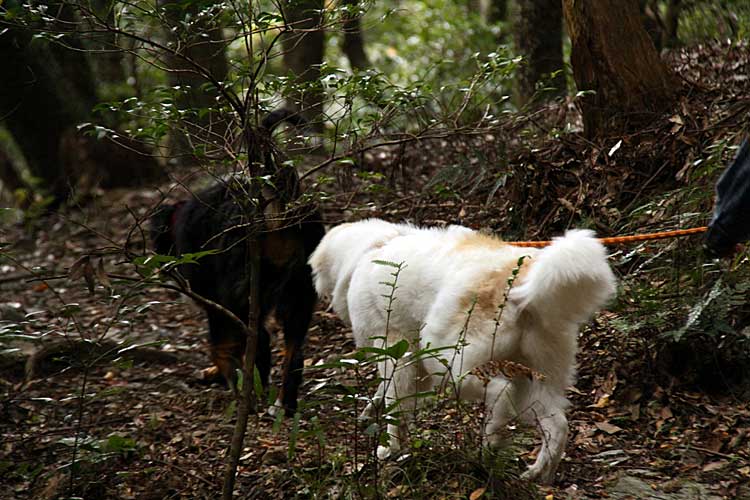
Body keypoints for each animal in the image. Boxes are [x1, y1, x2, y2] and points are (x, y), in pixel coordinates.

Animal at [152, 111, 326, 416]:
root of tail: (277, 198)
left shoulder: (214, 300)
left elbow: (221, 344)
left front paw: (223, 374)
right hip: (300, 290)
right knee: (294, 351)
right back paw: (284, 405)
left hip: (246, 290)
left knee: (260, 340)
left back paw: (252, 392)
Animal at [308, 220, 620, 484]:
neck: (370, 249)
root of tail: (519, 281)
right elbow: (387, 397)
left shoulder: (396, 354)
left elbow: (394, 405)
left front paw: (390, 449)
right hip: (535, 377)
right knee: (558, 426)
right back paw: (539, 475)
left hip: (448, 361)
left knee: (500, 392)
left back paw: (490, 444)